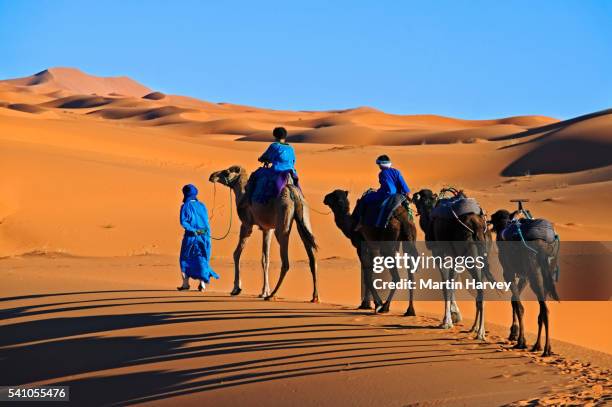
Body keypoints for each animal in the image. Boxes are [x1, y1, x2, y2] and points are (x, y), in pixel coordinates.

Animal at [209, 166, 318, 302]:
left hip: (282, 224)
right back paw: (314, 297)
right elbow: (265, 259)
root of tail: (293, 193)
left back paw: (273, 295)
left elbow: (236, 253)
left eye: (226, 172)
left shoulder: (246, 224)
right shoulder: (267, 229)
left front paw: (236, 288)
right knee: (312, 255)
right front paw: (264, 292)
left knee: (286, 262)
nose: (212, 176)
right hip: (304, 217)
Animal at [322, 190, 418, 318]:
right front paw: (367, 304)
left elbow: (367, 276)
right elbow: (369, 273)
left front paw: (376, 304)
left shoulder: (361, 246)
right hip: (410, 238)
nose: (325, 198)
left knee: (396, 276)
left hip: (388, 243)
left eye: (333, 196)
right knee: (411, 274)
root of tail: (403, 219)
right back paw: (410, 311)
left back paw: (385, 307)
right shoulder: (372, 247)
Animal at [412, 189, 492, 342]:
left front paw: (446, 321)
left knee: (480, 291)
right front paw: (454, 316)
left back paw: (480, 333)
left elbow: (445, 286)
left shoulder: (439, 253)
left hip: (470, 253)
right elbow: (452, 283)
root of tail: (477, 225)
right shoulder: (455, 257)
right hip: (484, 253)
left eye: (418, 199)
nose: (411, 197)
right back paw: (476, 328)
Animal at [490, 210, 560, 356]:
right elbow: (514, 300)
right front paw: (514, 333)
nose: (488, 220)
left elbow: (518, 304)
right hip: (545, 273)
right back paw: (539, 346)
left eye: (494, 217)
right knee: (542, 310)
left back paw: (545, 349)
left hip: (534, 272)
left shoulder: (508, 272)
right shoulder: (524, 276)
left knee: (544, 309)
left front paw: (520, 340)